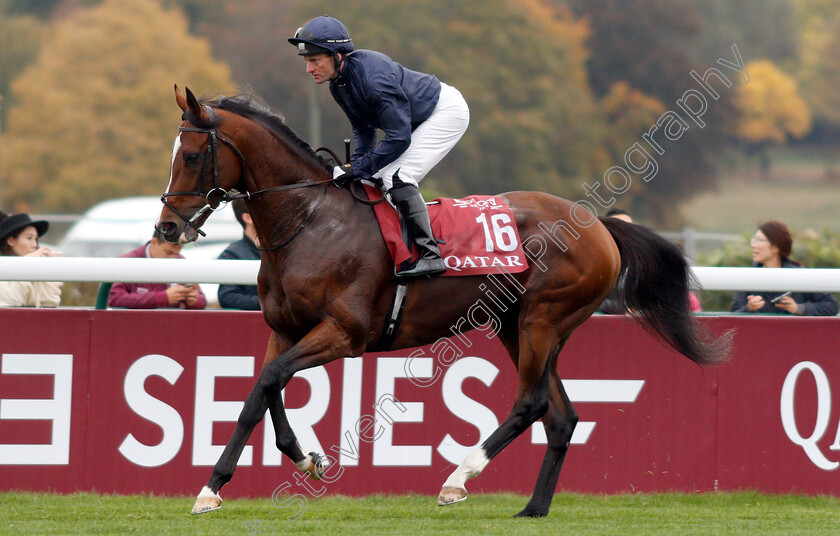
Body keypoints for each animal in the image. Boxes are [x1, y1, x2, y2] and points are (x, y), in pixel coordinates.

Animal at [158, 86, 728, 516]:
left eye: (192, 156)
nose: (166, 227)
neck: (312, 222)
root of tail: (600, 226)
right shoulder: (284, 330)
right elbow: (263, 391)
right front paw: (292, 464)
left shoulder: (343, 334)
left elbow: (268, 384)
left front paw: (222, 484)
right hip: (517, 325)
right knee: (561, 416)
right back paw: (532, 510)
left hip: (542, 319)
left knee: (532, 402)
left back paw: (459, 477)